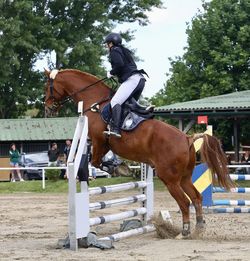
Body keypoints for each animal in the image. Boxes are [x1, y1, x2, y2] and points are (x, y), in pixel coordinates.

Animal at [44, 68, 233, 237]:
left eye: (48, 87)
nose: (48, 108)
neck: (94, 102)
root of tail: (187, 138)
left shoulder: (99, 141)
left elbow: (95, 161)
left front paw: (118, 168)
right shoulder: (102, 144)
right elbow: (99, 160)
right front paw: (121, 167)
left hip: (169, 179)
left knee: (185, 202)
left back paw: (185, 231)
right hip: (184, 178)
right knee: (196, 198)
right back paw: (199, 227)